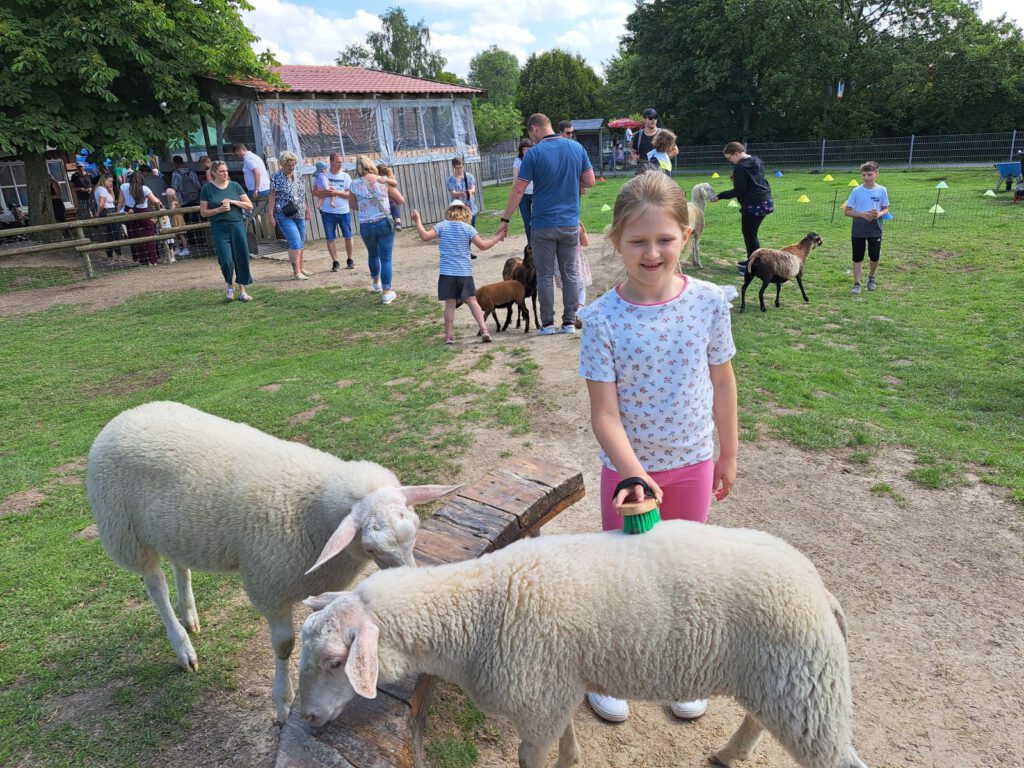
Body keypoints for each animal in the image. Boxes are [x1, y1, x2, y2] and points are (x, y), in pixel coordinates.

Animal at [88, 403, 456, 729]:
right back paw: (182, 646)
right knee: (155, 586)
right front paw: (284, 704)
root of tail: (127, 415)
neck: (312, 507)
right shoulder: (269, 585)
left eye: (414, 530)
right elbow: (284, 646)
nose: (409, 579)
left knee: (180, 565)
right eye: (370, 546)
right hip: (126, 533)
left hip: (173, 530)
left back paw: (189, 614)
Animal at [296, 520, 864, 765]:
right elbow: (567, 742)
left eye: (335, 660)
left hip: (806, 687)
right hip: (780, 680)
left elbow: (532, 758)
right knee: (756, 719)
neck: (476, 611)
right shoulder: (553, 691)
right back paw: (730, 753)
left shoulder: (535, 700)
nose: (306, 718)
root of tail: (820, 590)